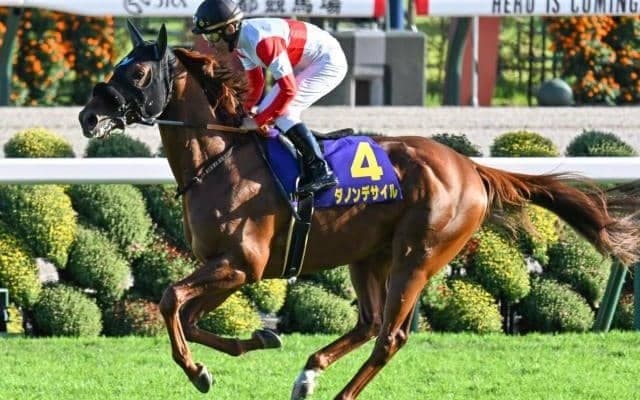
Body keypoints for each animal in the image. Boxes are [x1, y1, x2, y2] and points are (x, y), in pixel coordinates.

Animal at [79, 22, 640, 399]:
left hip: (418, 256)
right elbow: (189, 317)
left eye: (139, 71)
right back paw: (308, 373)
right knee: (370, 324)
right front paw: (257, 339)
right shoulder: (227, 268)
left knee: (390, 335)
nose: (88, 115)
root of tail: (470, 168)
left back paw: (339, 390)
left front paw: (198, 372)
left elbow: (171, 299)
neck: (221, 158)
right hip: (368, 256)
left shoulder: (242, 264)